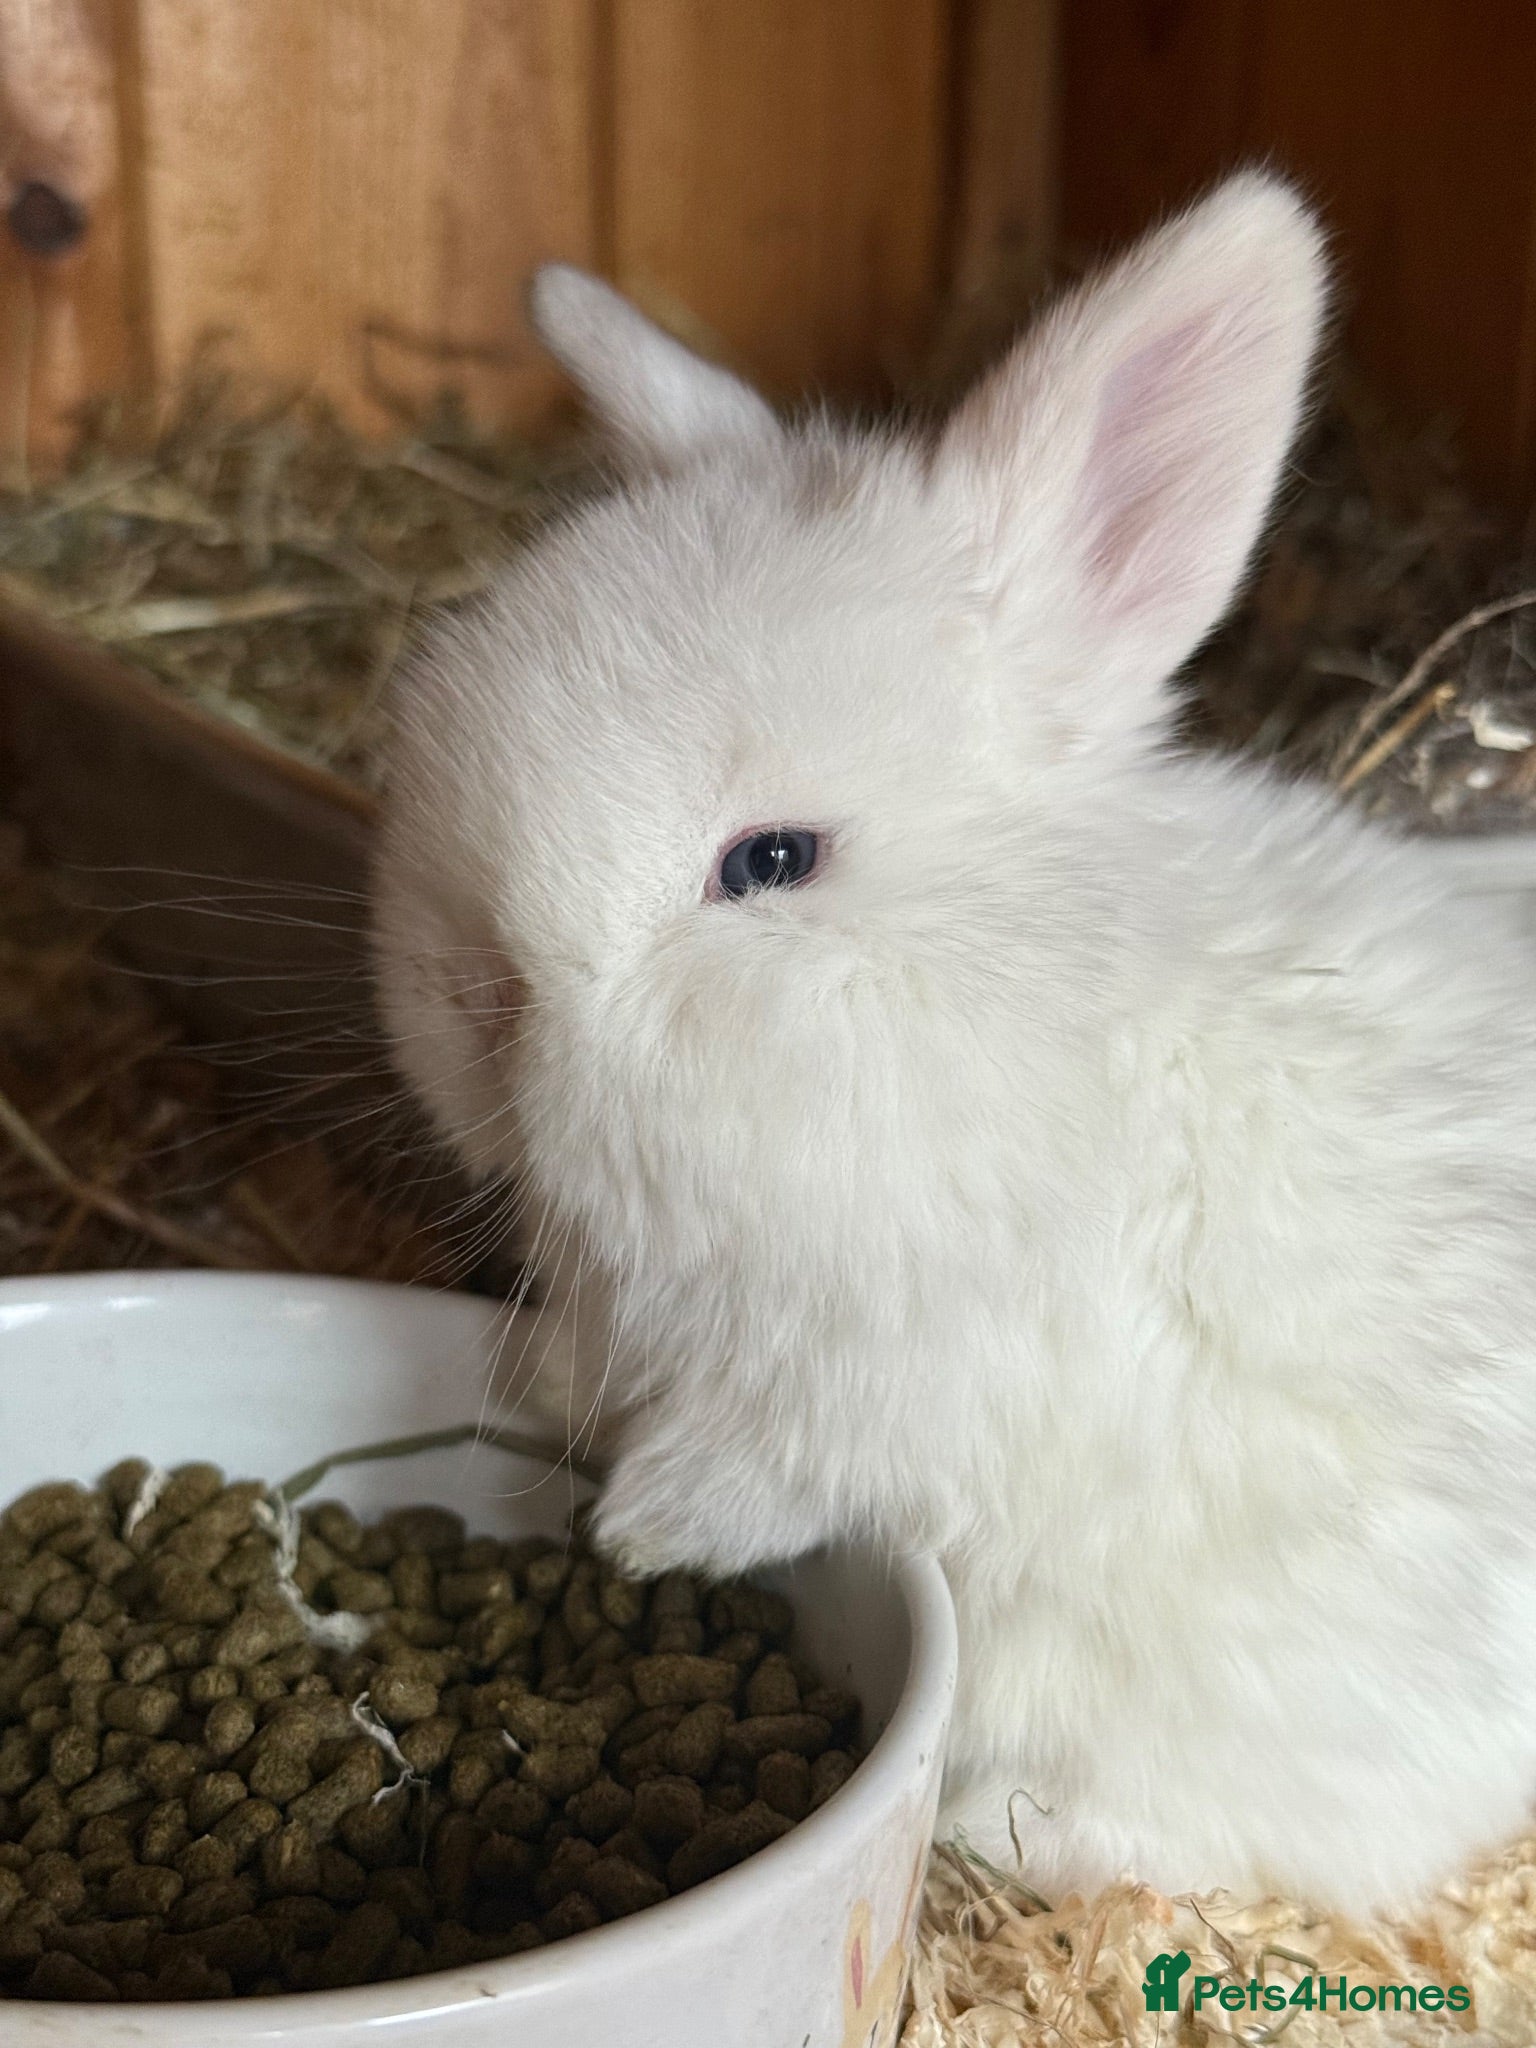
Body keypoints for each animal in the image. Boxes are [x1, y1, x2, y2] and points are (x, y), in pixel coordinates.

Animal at [373, 169, 1536, 1916]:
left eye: (773, 861)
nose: (476, 1004)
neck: (997, 1005)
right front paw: (545, 1393)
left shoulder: (943, 1375)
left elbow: (793, 1462)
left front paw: (643, 1526)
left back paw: (1002, 1821)